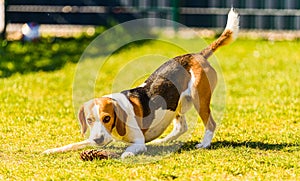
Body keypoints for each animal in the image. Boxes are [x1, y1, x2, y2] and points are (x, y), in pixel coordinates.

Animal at [43, 8, 239, 158]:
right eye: (89, 120)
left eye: (107, 118)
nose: (98, 141)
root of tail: (197, 55)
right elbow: (73, 144)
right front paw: (52, 150)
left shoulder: (138, 142)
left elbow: (131, 148)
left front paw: (126, 154)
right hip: (177, 103)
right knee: (181, 127)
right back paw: (162, 140)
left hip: (200, 99)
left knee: (210, 124)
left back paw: (204, 144)